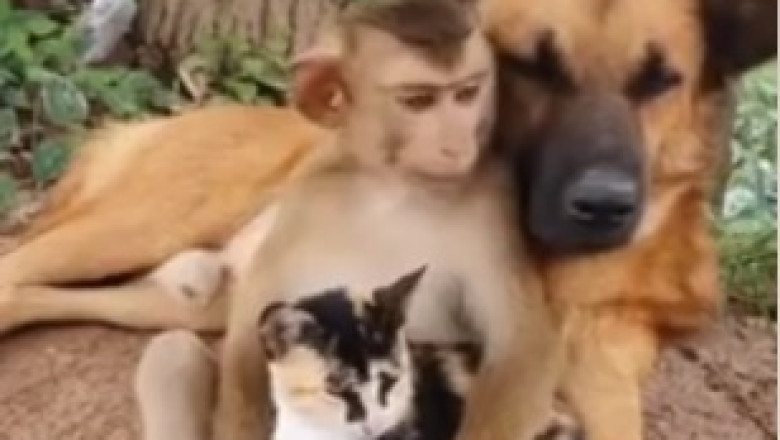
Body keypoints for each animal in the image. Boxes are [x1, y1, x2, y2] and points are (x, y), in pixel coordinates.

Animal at [212, 1, 562, 440]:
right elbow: (251, 327)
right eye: (419, 101)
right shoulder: (308, 198)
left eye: (467, 93)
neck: (394, 186)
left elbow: (520, 345)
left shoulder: (492, 202)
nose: (457, 143)